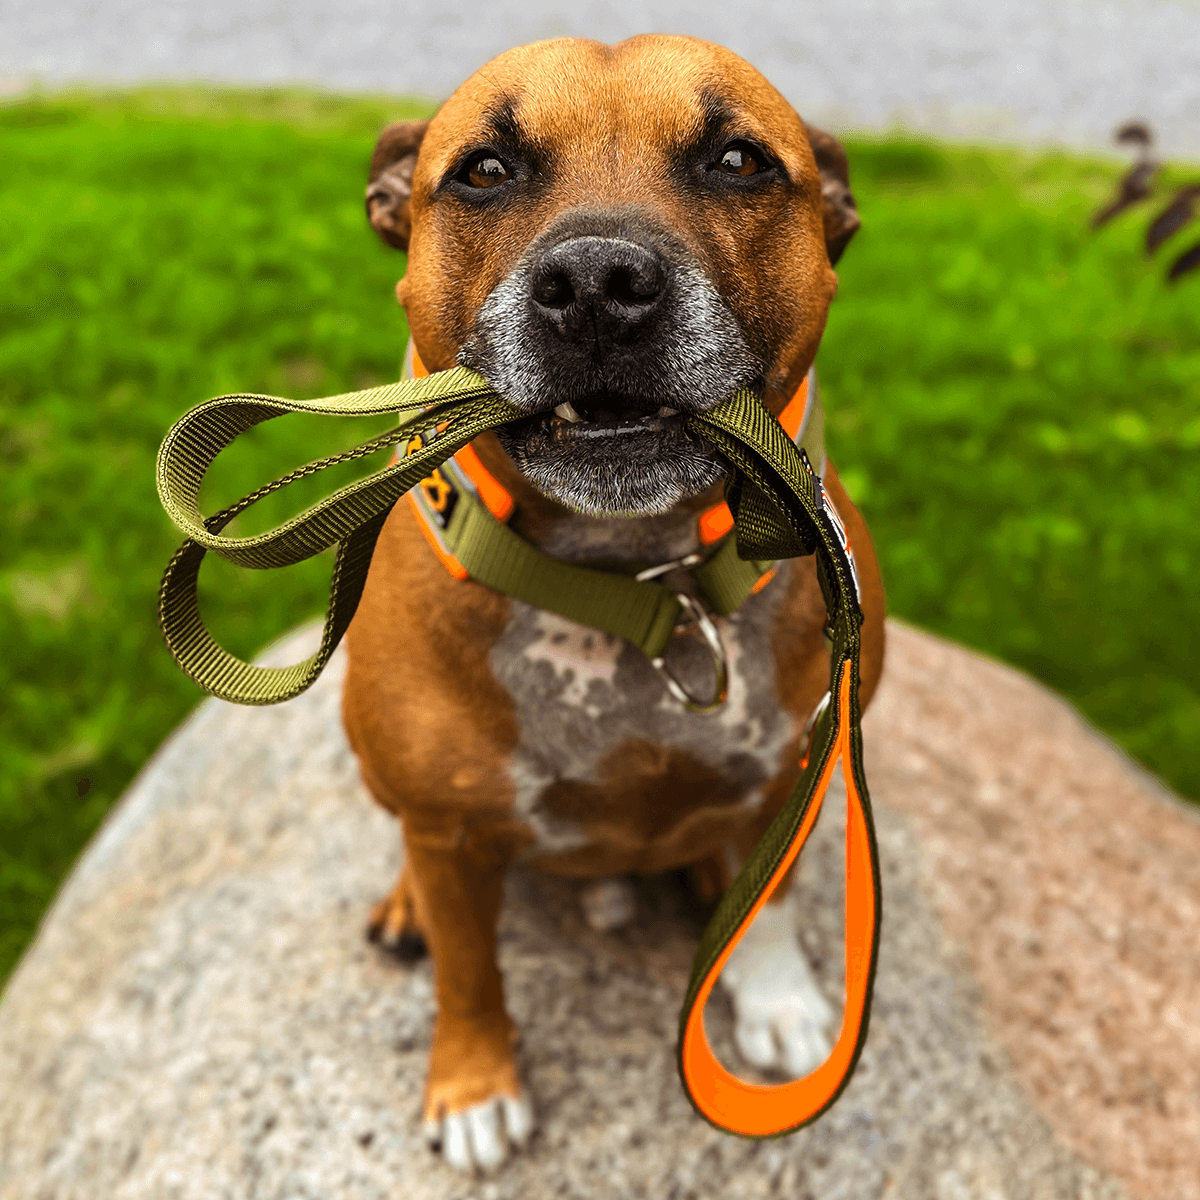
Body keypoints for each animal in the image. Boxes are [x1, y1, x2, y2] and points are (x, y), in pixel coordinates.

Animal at [343, 35, 888, 1171]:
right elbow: (470, 967)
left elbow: (771, 897)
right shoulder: (448, 830)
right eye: (485, 170)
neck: (637, 581)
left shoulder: (794, 772)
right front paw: (473, 1082)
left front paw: (777, 998)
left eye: (738, 160)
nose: (597, 282)